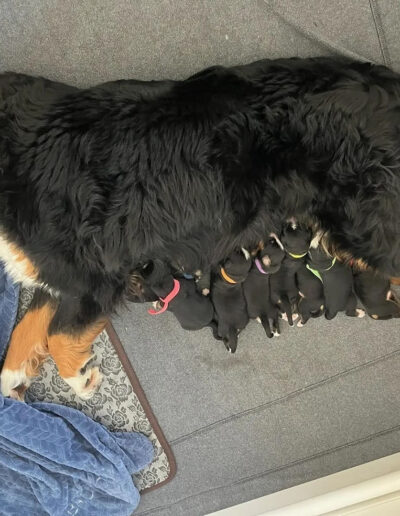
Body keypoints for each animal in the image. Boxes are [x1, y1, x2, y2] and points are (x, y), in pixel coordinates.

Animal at [0, 56, 400, 398]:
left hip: (372, 231)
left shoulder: (96, 277)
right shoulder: (58, 275)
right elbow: (25, 330)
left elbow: (58, 337)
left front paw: (81, 378)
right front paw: (14, 379)